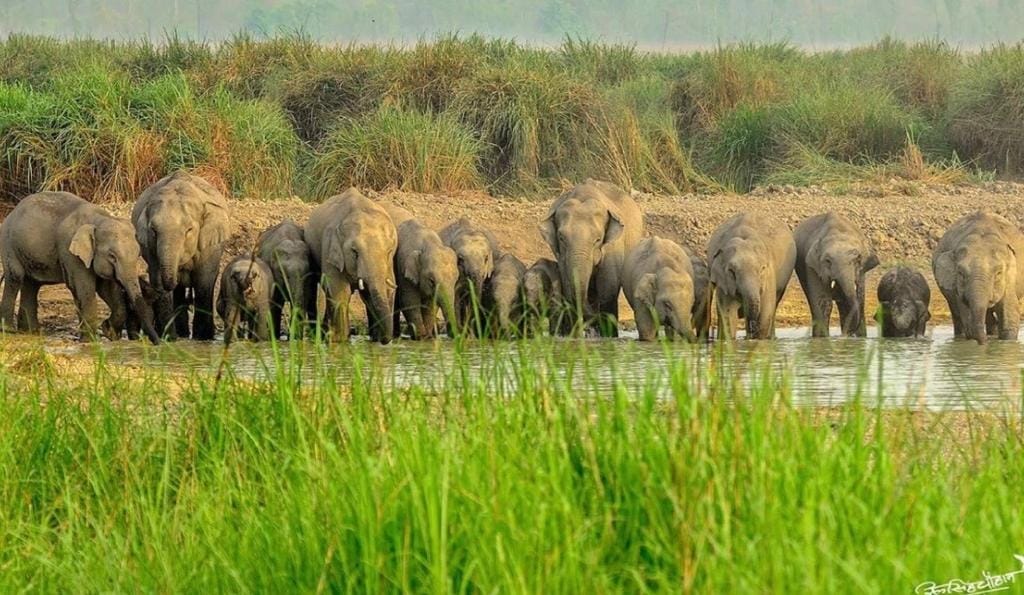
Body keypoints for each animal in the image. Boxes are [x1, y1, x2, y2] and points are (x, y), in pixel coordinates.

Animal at [0, 191, 160, 343]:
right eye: (112, 257)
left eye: (138, 254)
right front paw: (90, 341)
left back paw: (30, 332)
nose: (159, 343)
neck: (98, 220)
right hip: (8, 242)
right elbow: (84, 288)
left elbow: (106, 288)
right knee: (15, 277)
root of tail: (13, 211)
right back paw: (9, 330)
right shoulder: (69, 251)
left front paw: (108, 332)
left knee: (31, 284)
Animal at [132, 171, 231, 340]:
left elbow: (204, 280)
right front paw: (169, 338)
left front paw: (202, 338)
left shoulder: (209, 245)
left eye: (189, 230)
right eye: (153, 230)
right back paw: (182, 333)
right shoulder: (151, 248)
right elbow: (158, 278)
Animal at [304, 188, 398, 343]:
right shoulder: (330, 250)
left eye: (389, 251)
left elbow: (384, 291)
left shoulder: (389, 264)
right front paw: (340, 341)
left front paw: (375, 340)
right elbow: (339, 292)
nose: (384, 341)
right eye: (354, 252)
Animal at [540, 179, 644, 337]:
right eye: (561, 238)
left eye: (598, 239)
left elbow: (608, 288)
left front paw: (608, 336)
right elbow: (568, 284)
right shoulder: (561, 255)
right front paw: (574, 336)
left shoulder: (613, 247)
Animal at [932, 211, 1024, 344]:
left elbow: (1009, 319)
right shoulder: (958, 290)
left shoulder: (1010, 278)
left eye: (998, 273)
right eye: (961, 273)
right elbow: (967, 320)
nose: (986, 343)